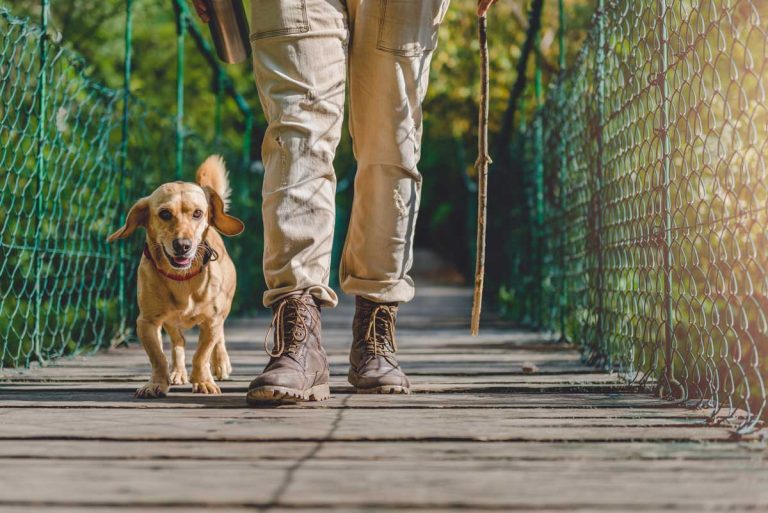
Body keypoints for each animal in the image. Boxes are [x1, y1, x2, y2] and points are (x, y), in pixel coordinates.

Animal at [109, 154, 243, 398]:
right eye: (164, 214)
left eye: (198, 213)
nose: (182, 245)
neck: (182, 279)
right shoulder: (147, 322)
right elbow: (158, 357)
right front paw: (157, 383)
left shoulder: (211, 321)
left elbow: (201, 354)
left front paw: (203, 381)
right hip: (171, 322)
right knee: (178, 342)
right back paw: (178, 372)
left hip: (222, 312)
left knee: (219, 339)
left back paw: (220, 363)